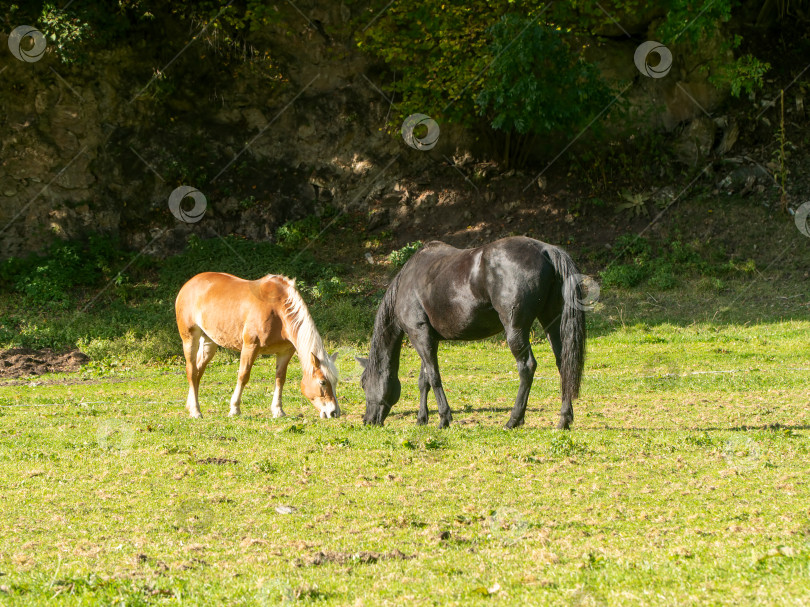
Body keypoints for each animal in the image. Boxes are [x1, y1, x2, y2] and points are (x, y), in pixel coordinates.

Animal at [175, 274, 340, 420]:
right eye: (322, 382)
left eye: (335, 381)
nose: (334, 412)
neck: (277, 310)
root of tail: (188, 284)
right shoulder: (250, 347)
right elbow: (243, 376)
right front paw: (235, 409)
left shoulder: (285, 352)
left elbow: (280, 379)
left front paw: (278, 410)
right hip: (189, 339)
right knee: (191, 371)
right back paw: (196, 411)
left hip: (209, 343)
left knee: (198, 372)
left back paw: (191, 406)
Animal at [356, 235, 584, 430]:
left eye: (364, 383)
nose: (367, 420)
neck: (407, 282)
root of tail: (545, 249)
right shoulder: (428, 338)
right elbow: (424, 380)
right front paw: (421, 419)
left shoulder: (419, 334)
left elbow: (434, 377)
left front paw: (444, 419)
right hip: (552, 325)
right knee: (564, 363)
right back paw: (564, 420)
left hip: (516, 330)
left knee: (527, 367)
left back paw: (513, 420)